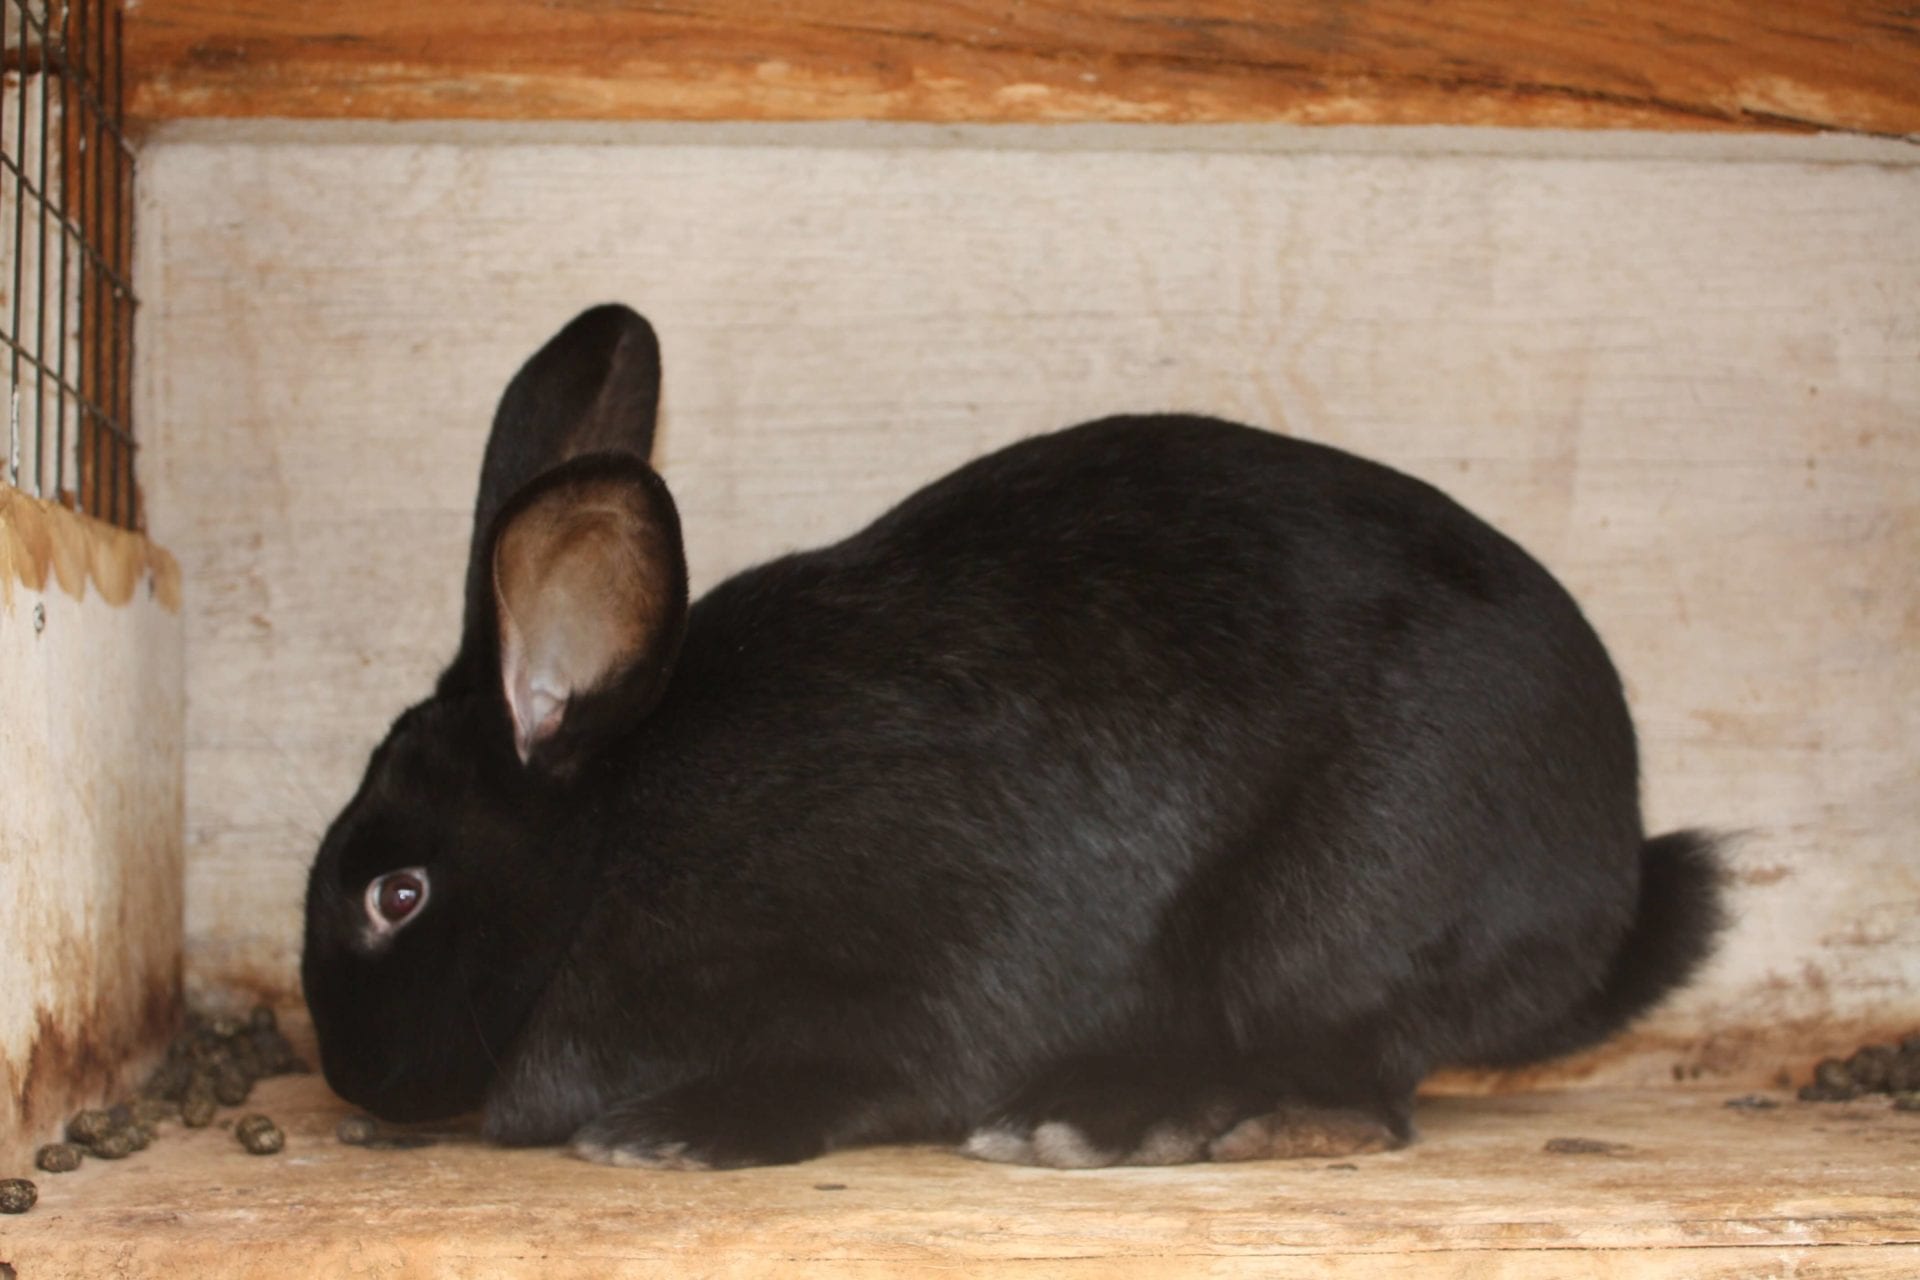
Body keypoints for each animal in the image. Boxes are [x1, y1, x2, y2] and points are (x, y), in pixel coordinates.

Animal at [301, 303, 1723, 1170]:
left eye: (398, 892)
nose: (351, 1070)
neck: (605, 849)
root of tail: (1608, 875)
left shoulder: (919, 969)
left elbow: (875, 1068)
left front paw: (677, 1131)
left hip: (1332, 922)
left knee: (1358, 1079)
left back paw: (1107, 1121)